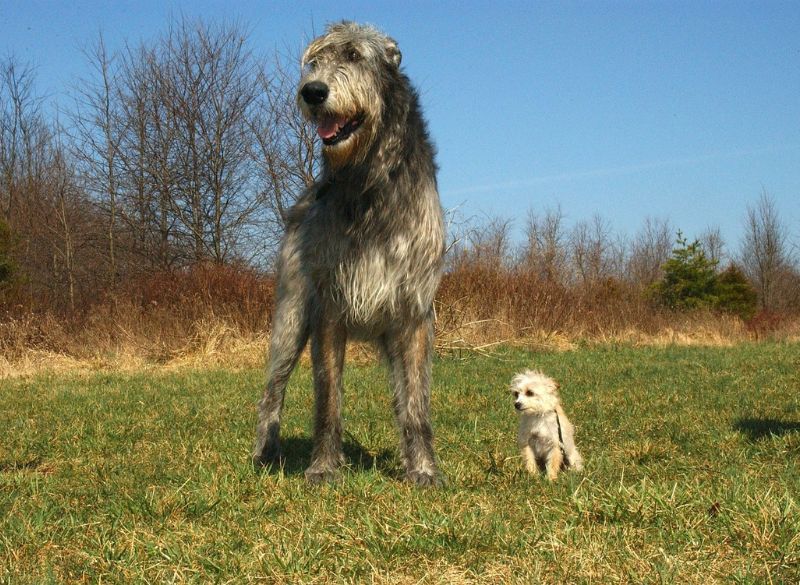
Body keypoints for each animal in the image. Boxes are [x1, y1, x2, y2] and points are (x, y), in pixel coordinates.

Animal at [253, 22, 446, 486]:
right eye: (314, 62)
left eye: (356, 56)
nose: (313, 92)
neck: (368, 180)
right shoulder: (329, 308)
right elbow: (328, 399)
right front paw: (323, 467)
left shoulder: (415, 312)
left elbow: (416, 404)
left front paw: (424, 468)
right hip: (290, 316)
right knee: (273, 389)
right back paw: (266, 451)